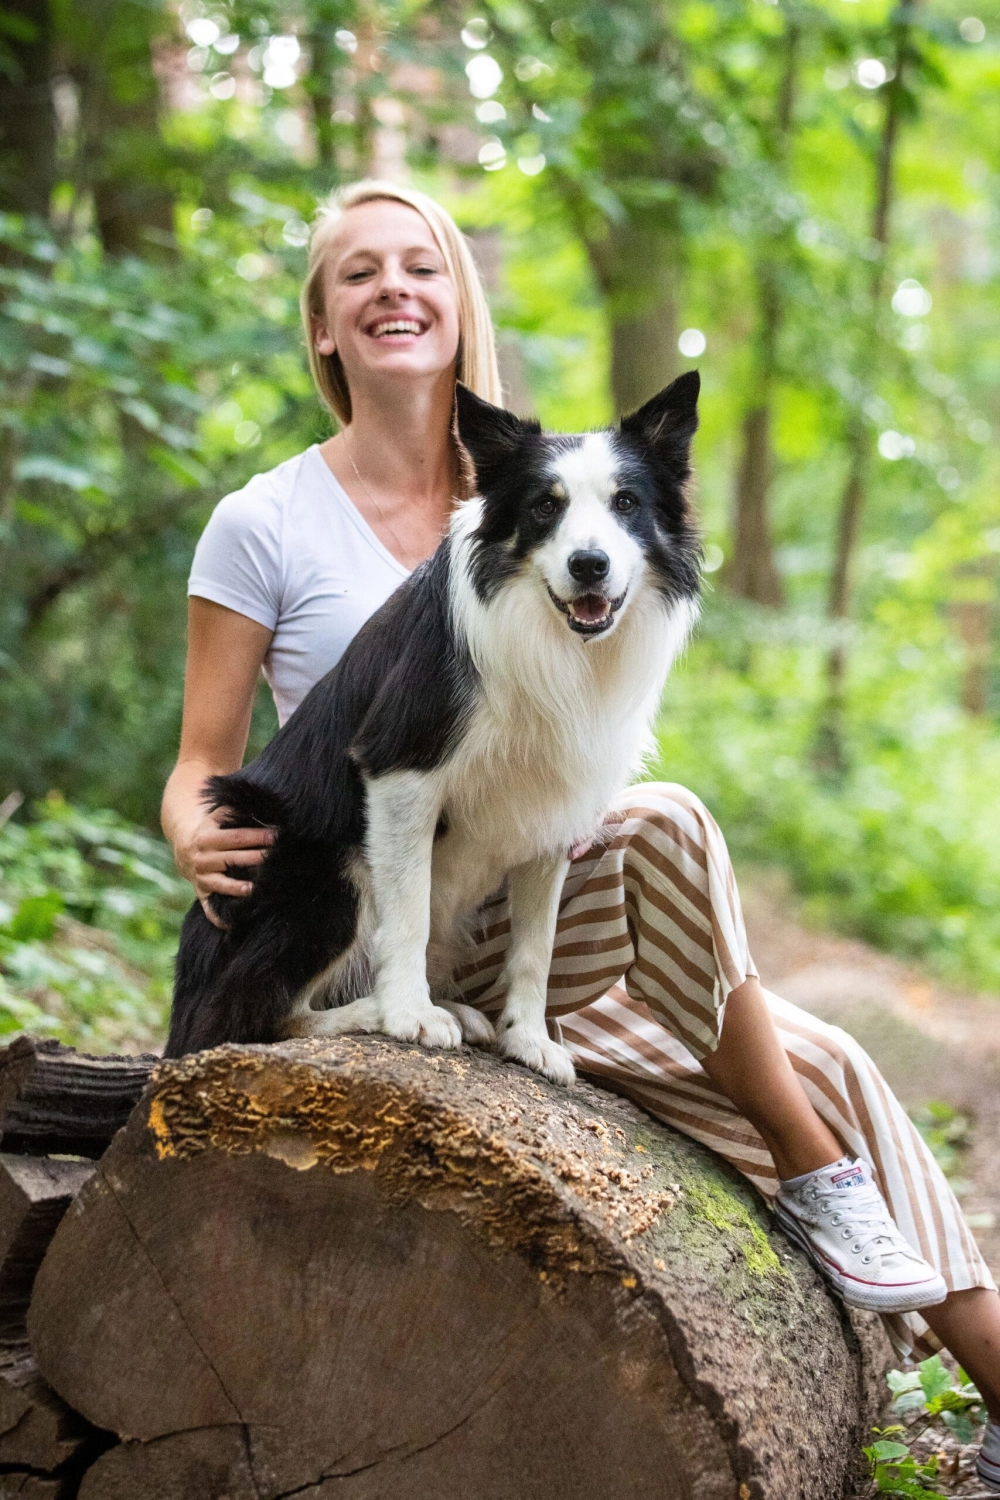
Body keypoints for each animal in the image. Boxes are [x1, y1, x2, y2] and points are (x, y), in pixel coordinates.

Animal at [167, 373, 704, 1080]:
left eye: (626, 502)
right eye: (545, 506)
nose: (589, 565)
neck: (555, 641)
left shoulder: (556, 805)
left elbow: (536, 946)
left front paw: (529, 1039)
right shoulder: (400, 767)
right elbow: (409, 913)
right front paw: (408, 1014)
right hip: (319, 874)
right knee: (252, 1016)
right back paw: (374, 1011)